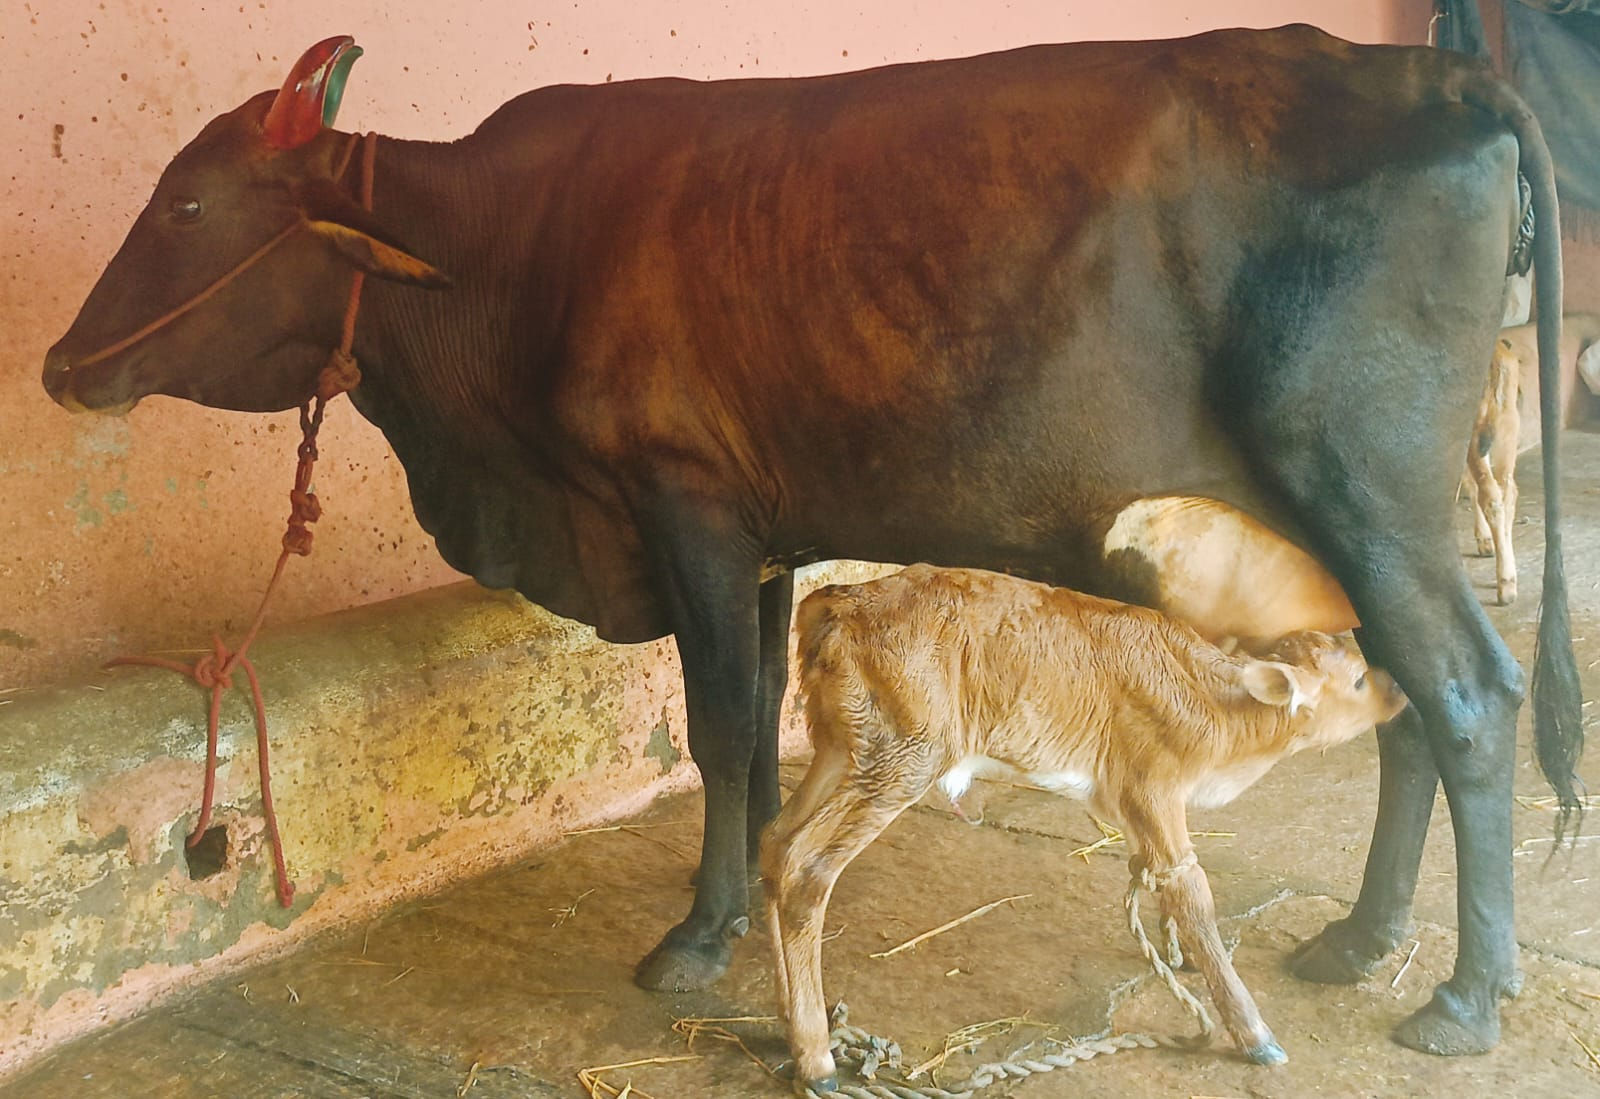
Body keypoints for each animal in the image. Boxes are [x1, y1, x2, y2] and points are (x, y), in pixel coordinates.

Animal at [763, 564, 1411, 1085]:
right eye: (1357, 679)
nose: (1400, 690)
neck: (1220, 715)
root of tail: (838, 602)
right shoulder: (1153, 785)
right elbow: (1191, 889)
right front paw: (1256, 1036)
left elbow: (1157, 884)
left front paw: (1175, 959)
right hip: (907, 754)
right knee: (809, 868)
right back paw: (817, 1059)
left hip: (843, 745)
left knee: (776, 842)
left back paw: (790, 1023)